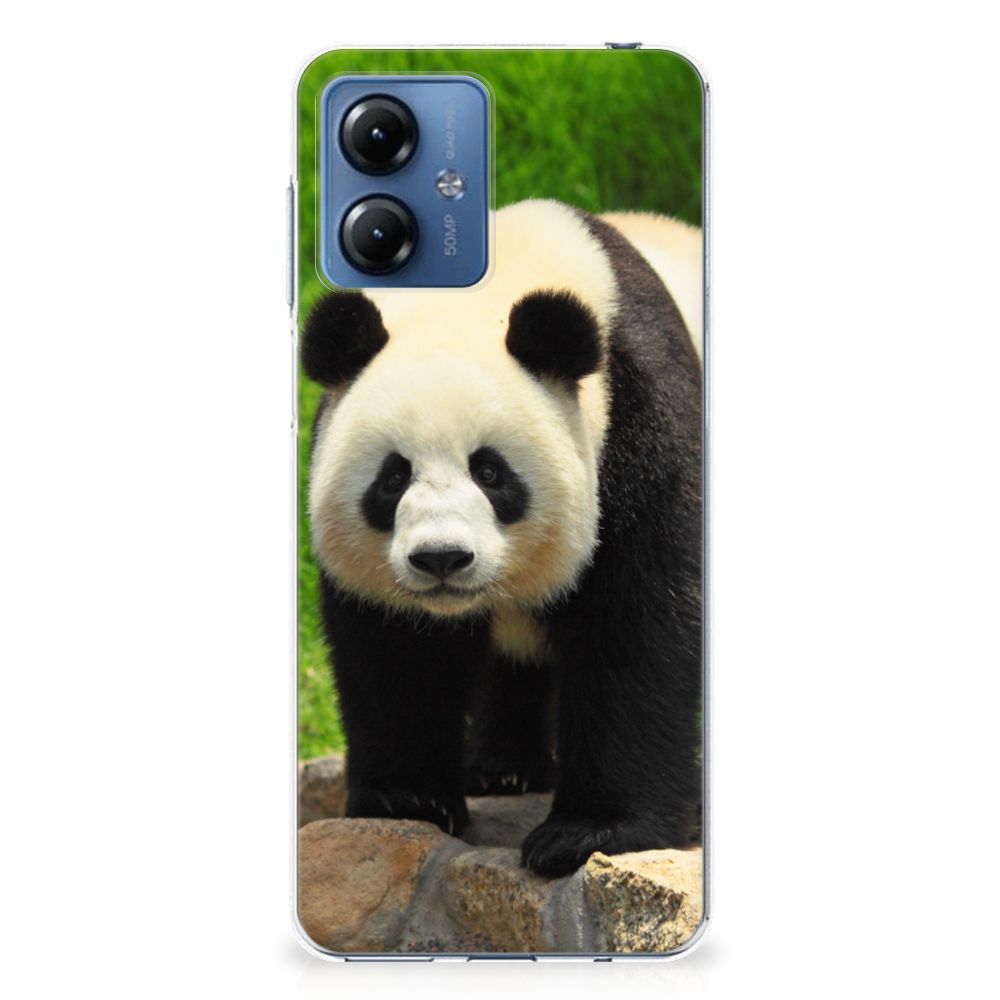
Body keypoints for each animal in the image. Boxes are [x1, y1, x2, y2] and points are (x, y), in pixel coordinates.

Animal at [302, 199, 703, 877]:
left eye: (490, 472)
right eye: (393, 476)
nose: (441, 558)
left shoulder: (643, 422)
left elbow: (640, 625)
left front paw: (589, 833)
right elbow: (395, 650)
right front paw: (408, 800)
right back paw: (504, 769)